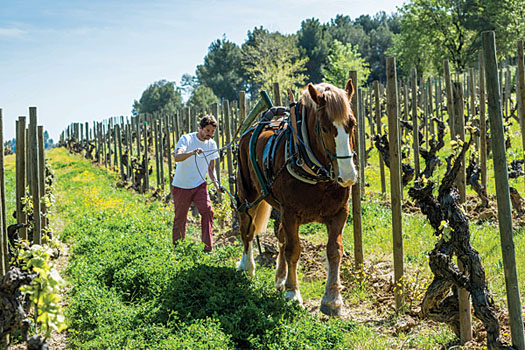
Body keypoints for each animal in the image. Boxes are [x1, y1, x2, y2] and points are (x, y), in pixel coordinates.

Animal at [236, 80, 356, 316]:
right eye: (325, 128)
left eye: (352, 124)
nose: (347, 175)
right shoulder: (291, 213)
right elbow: (294, 250)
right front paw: (293, 294)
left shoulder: (340, 213)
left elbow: (334, 251)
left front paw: (332, 299)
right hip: (247, 194)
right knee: (248, 229)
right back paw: (247, 266)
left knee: (281, 236)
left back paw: (280, 278)